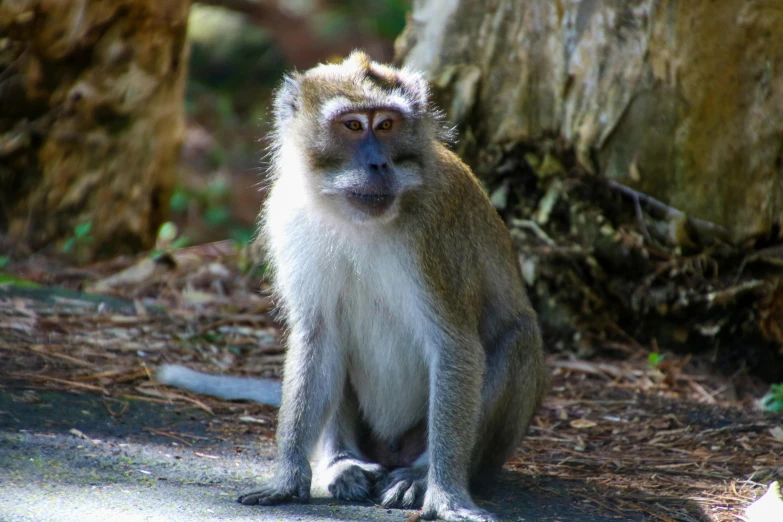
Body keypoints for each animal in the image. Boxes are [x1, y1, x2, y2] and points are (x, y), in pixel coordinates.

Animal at [157, 49, 548, 520]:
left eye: (387, 125)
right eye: (353, 126)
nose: (378, 163)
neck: (353, 218)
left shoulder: (437, 232)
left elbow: (455, 345)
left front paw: (446, 495)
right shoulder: (289, 214)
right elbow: (318, 333)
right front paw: (288, 478)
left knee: (517, 339)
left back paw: (419, 474)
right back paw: (341, 462)